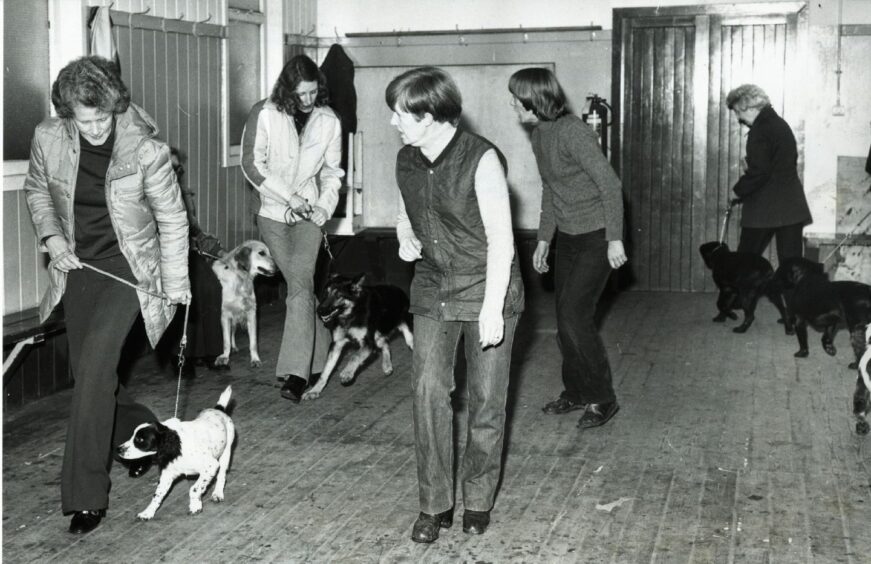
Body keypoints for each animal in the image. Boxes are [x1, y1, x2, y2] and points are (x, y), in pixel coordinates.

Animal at [119, 384, 237, 520]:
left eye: (140, 440)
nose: (118, 449)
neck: (176, 448)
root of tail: (218, 409)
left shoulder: (211, 465)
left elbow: (194, 489)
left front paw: (195, 506)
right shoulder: (167, 474)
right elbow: (157, 495)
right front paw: (148, 512)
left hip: (226, 453)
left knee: (222, 475)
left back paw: (217, 493)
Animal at [212, 240, 276, 368]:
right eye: (262, 253)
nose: (277, 268)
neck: (240, 279)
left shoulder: (251, 313)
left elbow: (253, 343)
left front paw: (255, 359)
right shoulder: (225, 315)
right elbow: (226, 341)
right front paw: (225, 357)